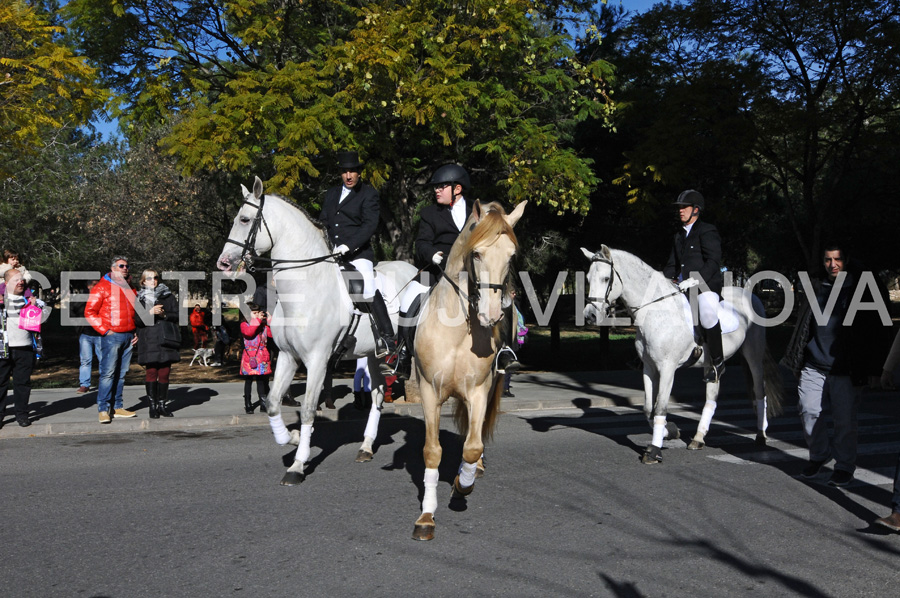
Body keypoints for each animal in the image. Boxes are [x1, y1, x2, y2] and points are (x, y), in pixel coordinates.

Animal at [218, 176, 418, 486]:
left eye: (244, 219)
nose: (224, 262)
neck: (306, 287)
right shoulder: (288, 356)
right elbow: (273, 403)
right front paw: (292, 437)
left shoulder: (317, 360)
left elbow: (310, 408)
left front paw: (298, 465)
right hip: (370, 354)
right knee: (376, 393)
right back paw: (365, 446)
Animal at [412, 199, 524, 540]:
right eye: (476, 254)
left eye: (511, 255)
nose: (492, 313)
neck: (457, 329)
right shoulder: (429, 392)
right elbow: (432, 451)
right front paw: (426, 516)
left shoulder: (477, 391)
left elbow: (473, 447)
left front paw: (462, 485)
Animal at [584, 246, 780, 466]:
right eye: (588, 278)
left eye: (605, 278)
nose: (589, 316)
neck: (656, 310)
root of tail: (751, 295)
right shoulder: (649, 368)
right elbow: (648, 408)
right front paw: (670, 431)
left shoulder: (667, 368)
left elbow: (660, 407)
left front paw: (654, 450)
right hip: (710, 365)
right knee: (712, 395)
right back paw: (698, 438)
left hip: (753, 355)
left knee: (760, 391)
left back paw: (761, 435)